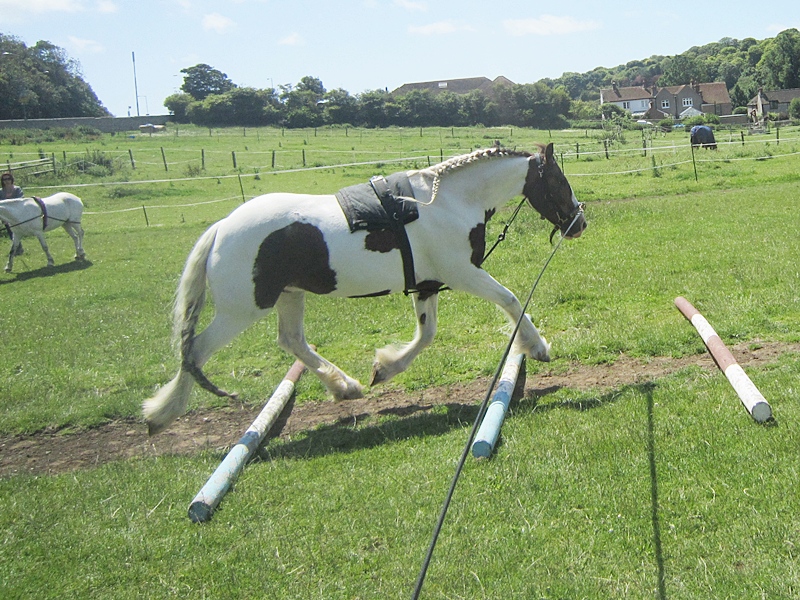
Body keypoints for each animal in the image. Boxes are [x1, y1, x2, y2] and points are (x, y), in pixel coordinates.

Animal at [143, 144, 587, 435]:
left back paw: (345, 386)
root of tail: (221, 228)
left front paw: (385, 367)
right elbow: (511, 300)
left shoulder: (428, 285)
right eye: (558, 180)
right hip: (242, 310)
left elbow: (426, 334)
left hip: (290, 296)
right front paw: (537, 346)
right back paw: (162, 413)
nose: (578, 223)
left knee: (292, 341)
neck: (448, 204)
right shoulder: (463, 273)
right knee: (194, 351)